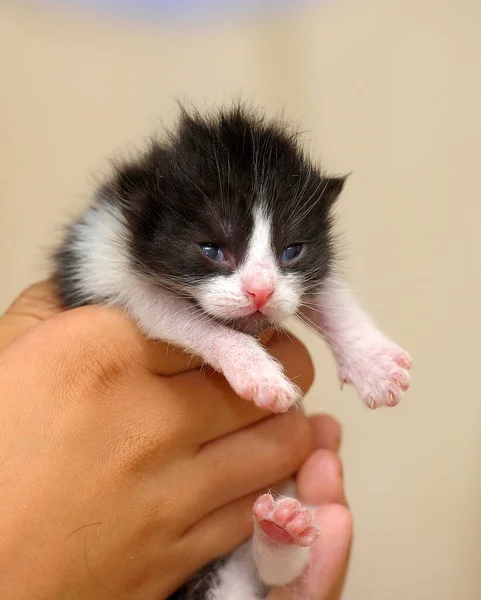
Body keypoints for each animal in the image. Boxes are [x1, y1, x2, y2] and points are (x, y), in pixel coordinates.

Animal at [53, 105, 412, 596]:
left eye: (291, 251)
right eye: (211, 249)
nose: (260, 291)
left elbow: (328, 291)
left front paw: (373, 363)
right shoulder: (104, 265)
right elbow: (185, 318)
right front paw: (257, 372)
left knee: (273, 571)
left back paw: (281, 532)